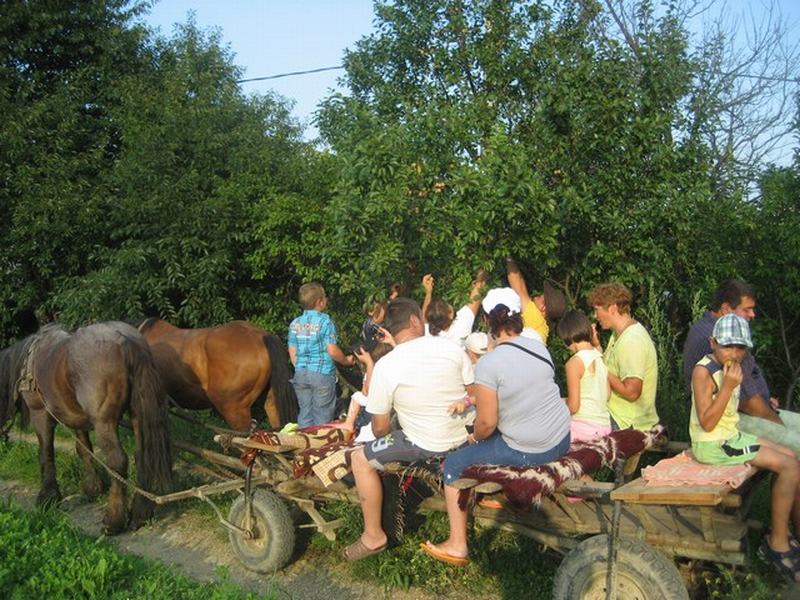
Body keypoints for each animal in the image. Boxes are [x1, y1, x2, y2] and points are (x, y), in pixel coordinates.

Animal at [0, 324, 173, 536]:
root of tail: (127, 341)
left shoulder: (40, 414)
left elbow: (46, 453)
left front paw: (48, 497)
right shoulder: (76, 419)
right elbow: (84, 449)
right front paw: (92, 487)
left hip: (104, 423)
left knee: (118, 462)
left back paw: (113, 520)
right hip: (137, 416)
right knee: (141, 458)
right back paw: (140, 513)